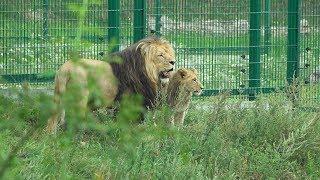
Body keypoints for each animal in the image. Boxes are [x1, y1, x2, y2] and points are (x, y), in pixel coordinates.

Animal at [46, 36, 175, 134]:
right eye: (160, 55)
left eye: (169, 54)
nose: (173, 62)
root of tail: (65, 68)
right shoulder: (131, 101)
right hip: (79, 100)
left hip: (57, 97)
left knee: (52, 120)